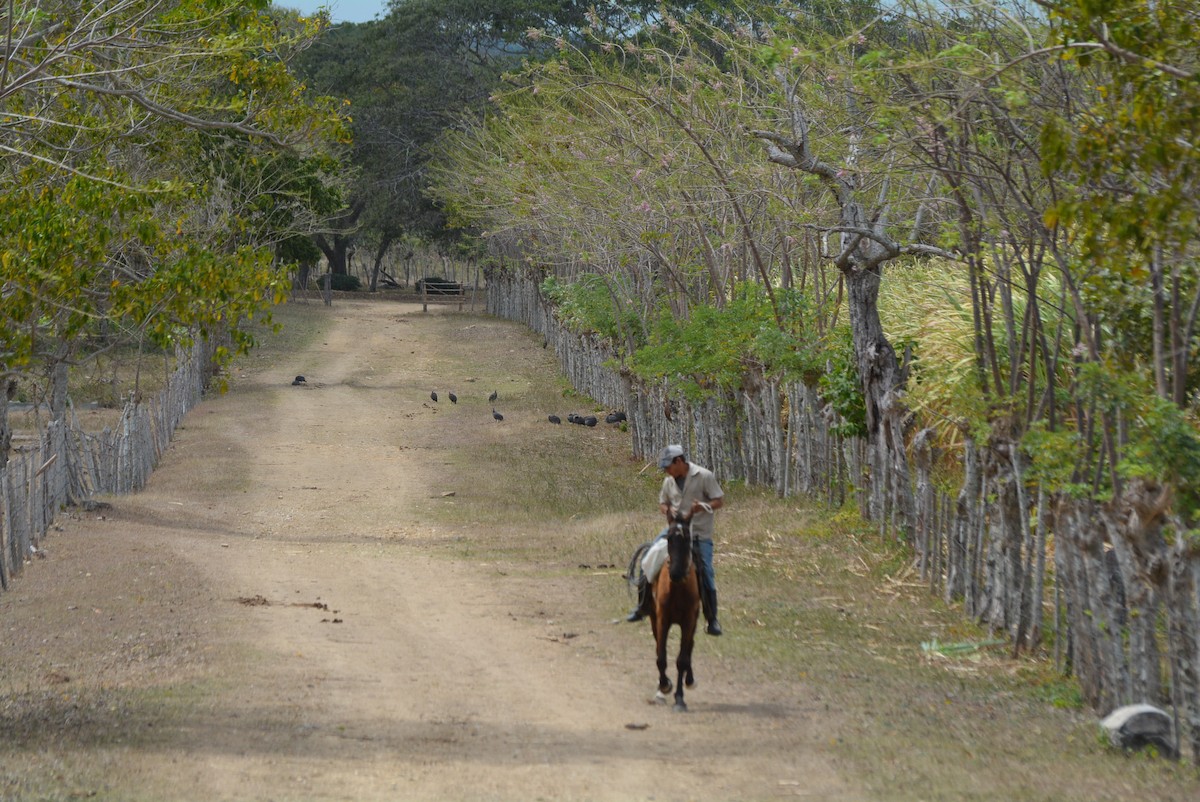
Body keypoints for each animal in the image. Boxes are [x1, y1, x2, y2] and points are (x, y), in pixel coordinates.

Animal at [648, 513, 700, 705]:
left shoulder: (689, 621)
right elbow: (661, 657)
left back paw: (689, 680)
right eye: (669, 539)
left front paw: (679, 698)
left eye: (688, 539)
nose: (676, 573)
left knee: (689, 647)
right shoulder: (662, 619)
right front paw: (664, 686)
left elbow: (682, 660)